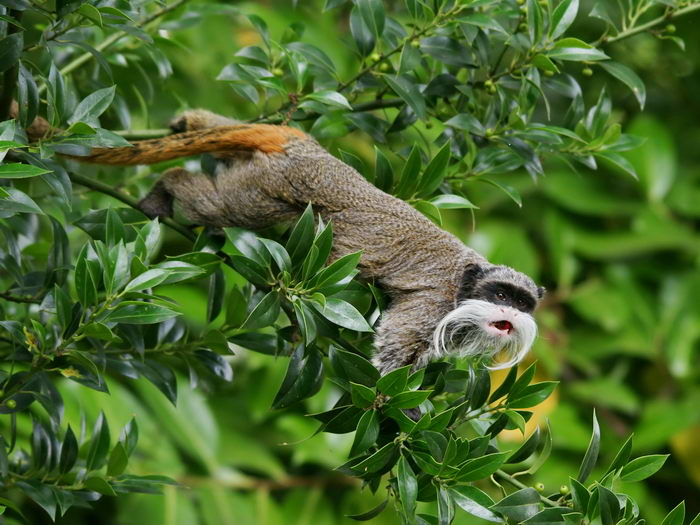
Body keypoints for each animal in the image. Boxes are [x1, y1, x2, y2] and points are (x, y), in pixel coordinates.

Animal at [71, 109, 544, 372]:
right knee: (226, 206)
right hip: (276, 184)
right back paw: (165, 189)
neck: (466, 282)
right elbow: (396, 346)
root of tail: (309, 152)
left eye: (522, 303)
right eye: (500, 294)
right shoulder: (437, 300)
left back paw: (188, 122)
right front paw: (399, 409)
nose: (507, 312)